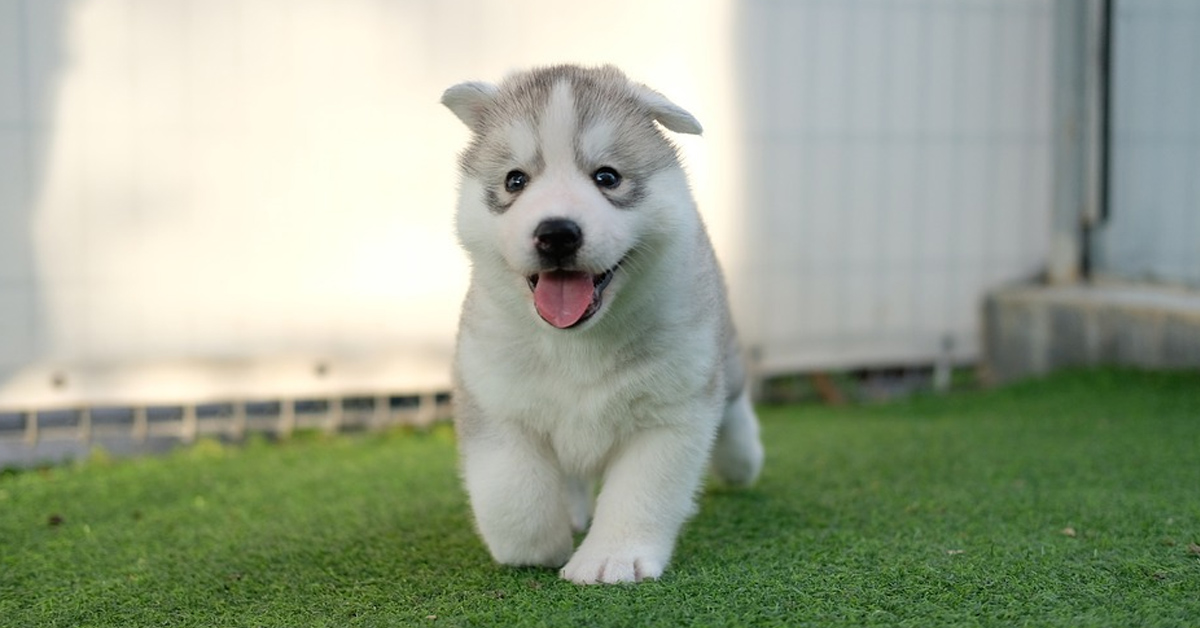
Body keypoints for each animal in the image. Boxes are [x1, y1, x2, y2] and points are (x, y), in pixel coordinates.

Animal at [441, 65, 758, 585]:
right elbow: (512, 491)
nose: (556, 233)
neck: (577, 343)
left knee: (734, 403)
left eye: (607, 177)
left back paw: (742, 460)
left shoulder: (671, 411)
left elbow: (641, 492)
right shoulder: (495, 397)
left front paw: (612, 558)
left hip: (721, 358)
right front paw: (537, 548)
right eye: (515, 180)